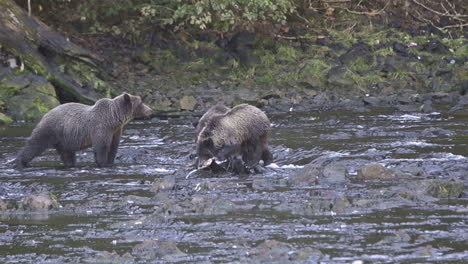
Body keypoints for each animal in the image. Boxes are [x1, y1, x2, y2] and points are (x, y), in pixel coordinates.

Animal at [14, 92, 152, 167]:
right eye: (141, 103)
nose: (151, 110)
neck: (114, 118)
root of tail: (46, 113)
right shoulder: (101, 127)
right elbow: (101, 147)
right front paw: (102, 163)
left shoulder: (115, 131)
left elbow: (113, 147)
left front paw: (110, 162)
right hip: (51, 129)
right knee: (35, 144)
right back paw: (21, 162)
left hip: (65, 138)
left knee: (67, 154)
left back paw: (70, 164)